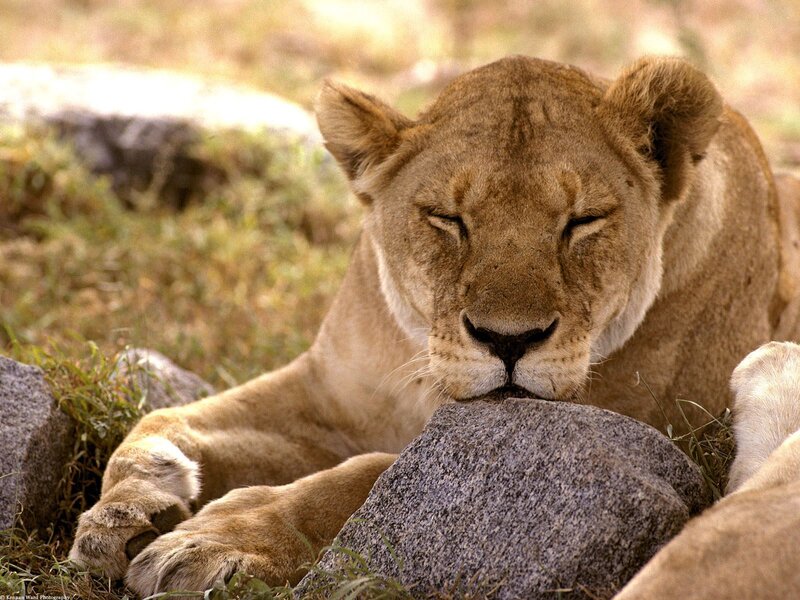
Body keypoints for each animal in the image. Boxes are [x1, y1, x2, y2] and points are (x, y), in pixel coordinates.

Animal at [67, 55, 800, 595]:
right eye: (447, 219)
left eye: (583, 221)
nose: (509, 340)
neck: (421, 368)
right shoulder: (328, 393)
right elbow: (163, 421)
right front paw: (128, 508)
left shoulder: (642, 436)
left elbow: (365, 476)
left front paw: (216, 540)